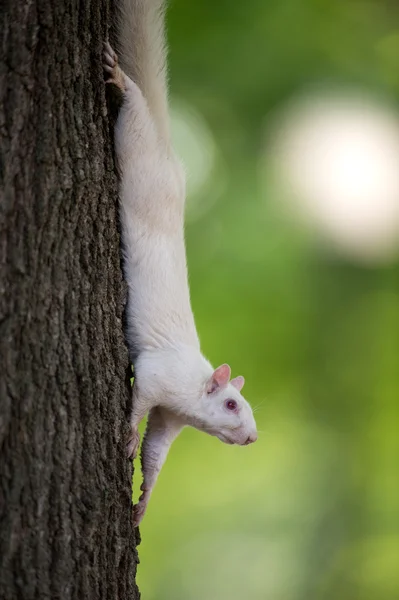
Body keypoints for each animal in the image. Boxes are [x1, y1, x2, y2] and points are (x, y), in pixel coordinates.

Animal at [104, 0, 258, 524]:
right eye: (231, 404)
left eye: (247, 407)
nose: (253, 437)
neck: (190, 391)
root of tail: (172, 156)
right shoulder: (158, 377)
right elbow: (137, 405)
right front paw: (126, 436)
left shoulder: (171, 419)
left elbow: (157, 453)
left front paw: (143, 502)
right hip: (137, 153)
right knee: (134, 114)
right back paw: (121, 80)